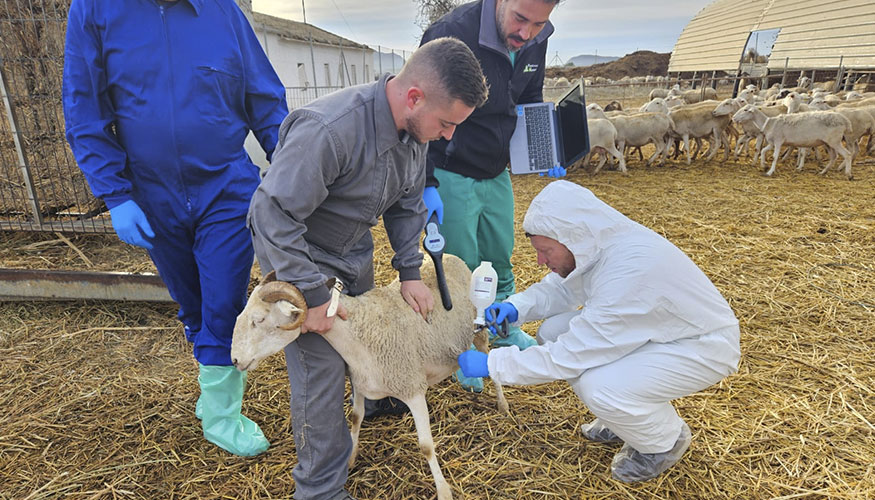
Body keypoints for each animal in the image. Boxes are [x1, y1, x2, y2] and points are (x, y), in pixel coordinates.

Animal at [233, 256, 506, 498]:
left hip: (479, 330)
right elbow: (356, 418)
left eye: (259, 319)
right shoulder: (361, 383)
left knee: (491, 361)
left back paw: (502, 404)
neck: (359, 331)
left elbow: (426, 446)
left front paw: (443, 491)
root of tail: (449, 255)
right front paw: (351, 458)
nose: (234, 359)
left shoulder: (412, 388)